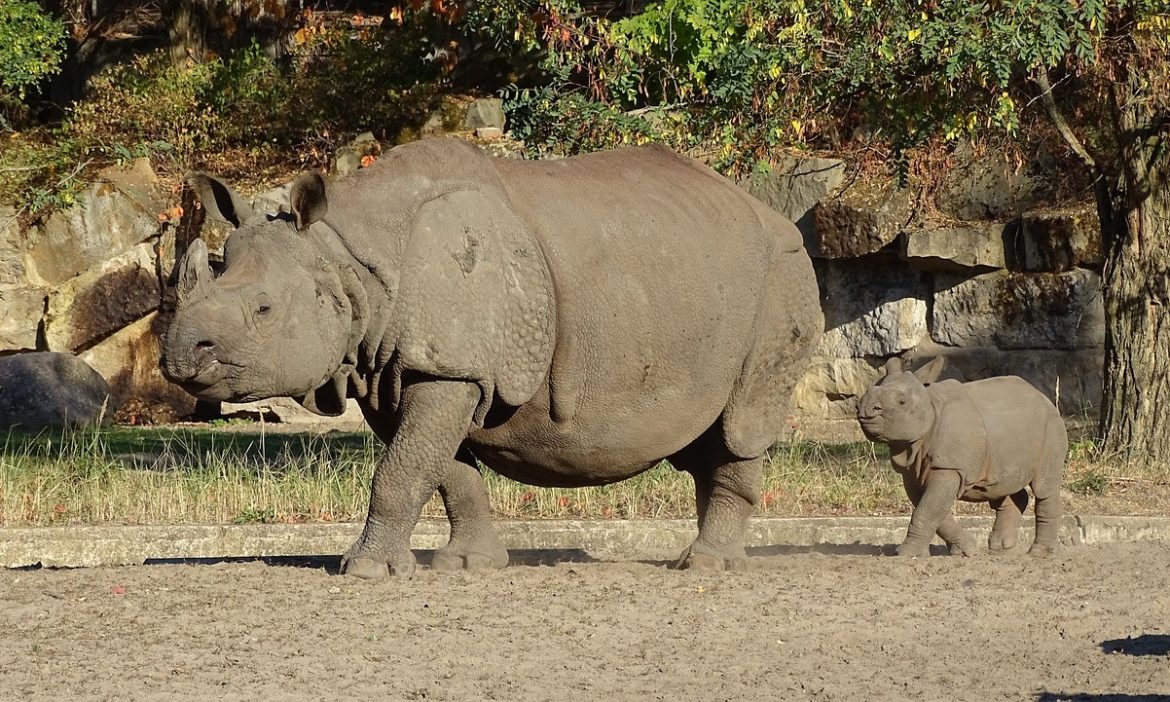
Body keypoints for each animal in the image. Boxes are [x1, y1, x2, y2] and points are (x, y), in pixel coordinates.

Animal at [161, 138, 824, 578]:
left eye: (265, 310)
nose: (177, 355)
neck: (347, 257)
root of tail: (769, 212)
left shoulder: (447, 365)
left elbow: (401, 470)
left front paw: (366, 572)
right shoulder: (396, 369)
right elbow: (444, 469)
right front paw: (466, 564)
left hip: (784, 271)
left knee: (741, 426)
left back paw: (707, 567)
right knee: (707, 437)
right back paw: (708, 559)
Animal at [857, 356, 1066, 557]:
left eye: (901, 402)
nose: (865, 407)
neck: (929, 404)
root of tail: (1043, 397)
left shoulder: (949, 466)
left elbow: (927, 509)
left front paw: (905, 554)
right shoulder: (911, 470)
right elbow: (931, 509)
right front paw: (965, 550)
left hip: (1051, 426)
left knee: (1044, 487)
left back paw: (1040, 553)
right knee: (1001, 487)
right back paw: (1001, 549)